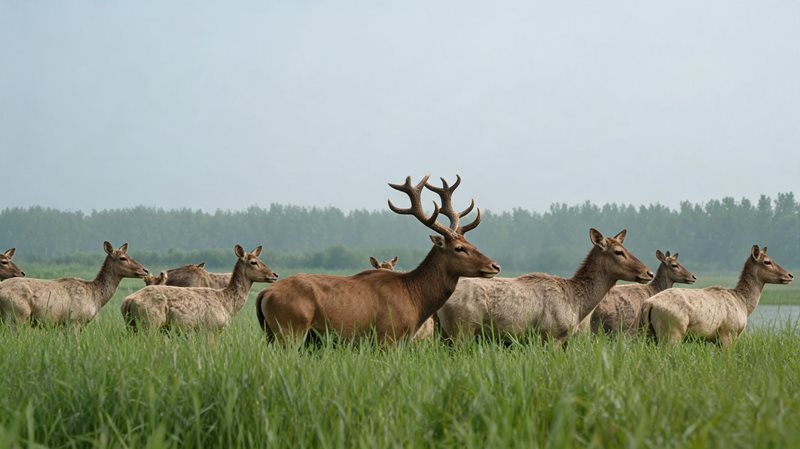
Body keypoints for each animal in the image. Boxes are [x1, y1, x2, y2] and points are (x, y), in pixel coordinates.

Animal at [121, 245, 278, 331]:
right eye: (253, 262)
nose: (274, 274)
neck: (227, 304)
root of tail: (126, 302)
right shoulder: (210, 327)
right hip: (150, 322)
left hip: (132, 326)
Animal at [256, 175, 501, 343]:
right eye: (459, 248)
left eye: (472, 243)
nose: (495, 265)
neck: (415, 299)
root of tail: (264, 294)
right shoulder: (389, 335)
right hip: (290, 328)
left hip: (272, 334)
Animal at [436, 228, 654, 346]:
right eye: (618, 251)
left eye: (626, 248)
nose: (649, 272)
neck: (576, 304)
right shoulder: (550, 334)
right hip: (462, 330)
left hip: (444, 334)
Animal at [641, 245, 793, 347]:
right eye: (767, 261)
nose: (790, 275)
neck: (743, 303)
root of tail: (649, 304)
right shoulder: (728, 333)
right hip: (672, 331)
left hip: (648, 334)